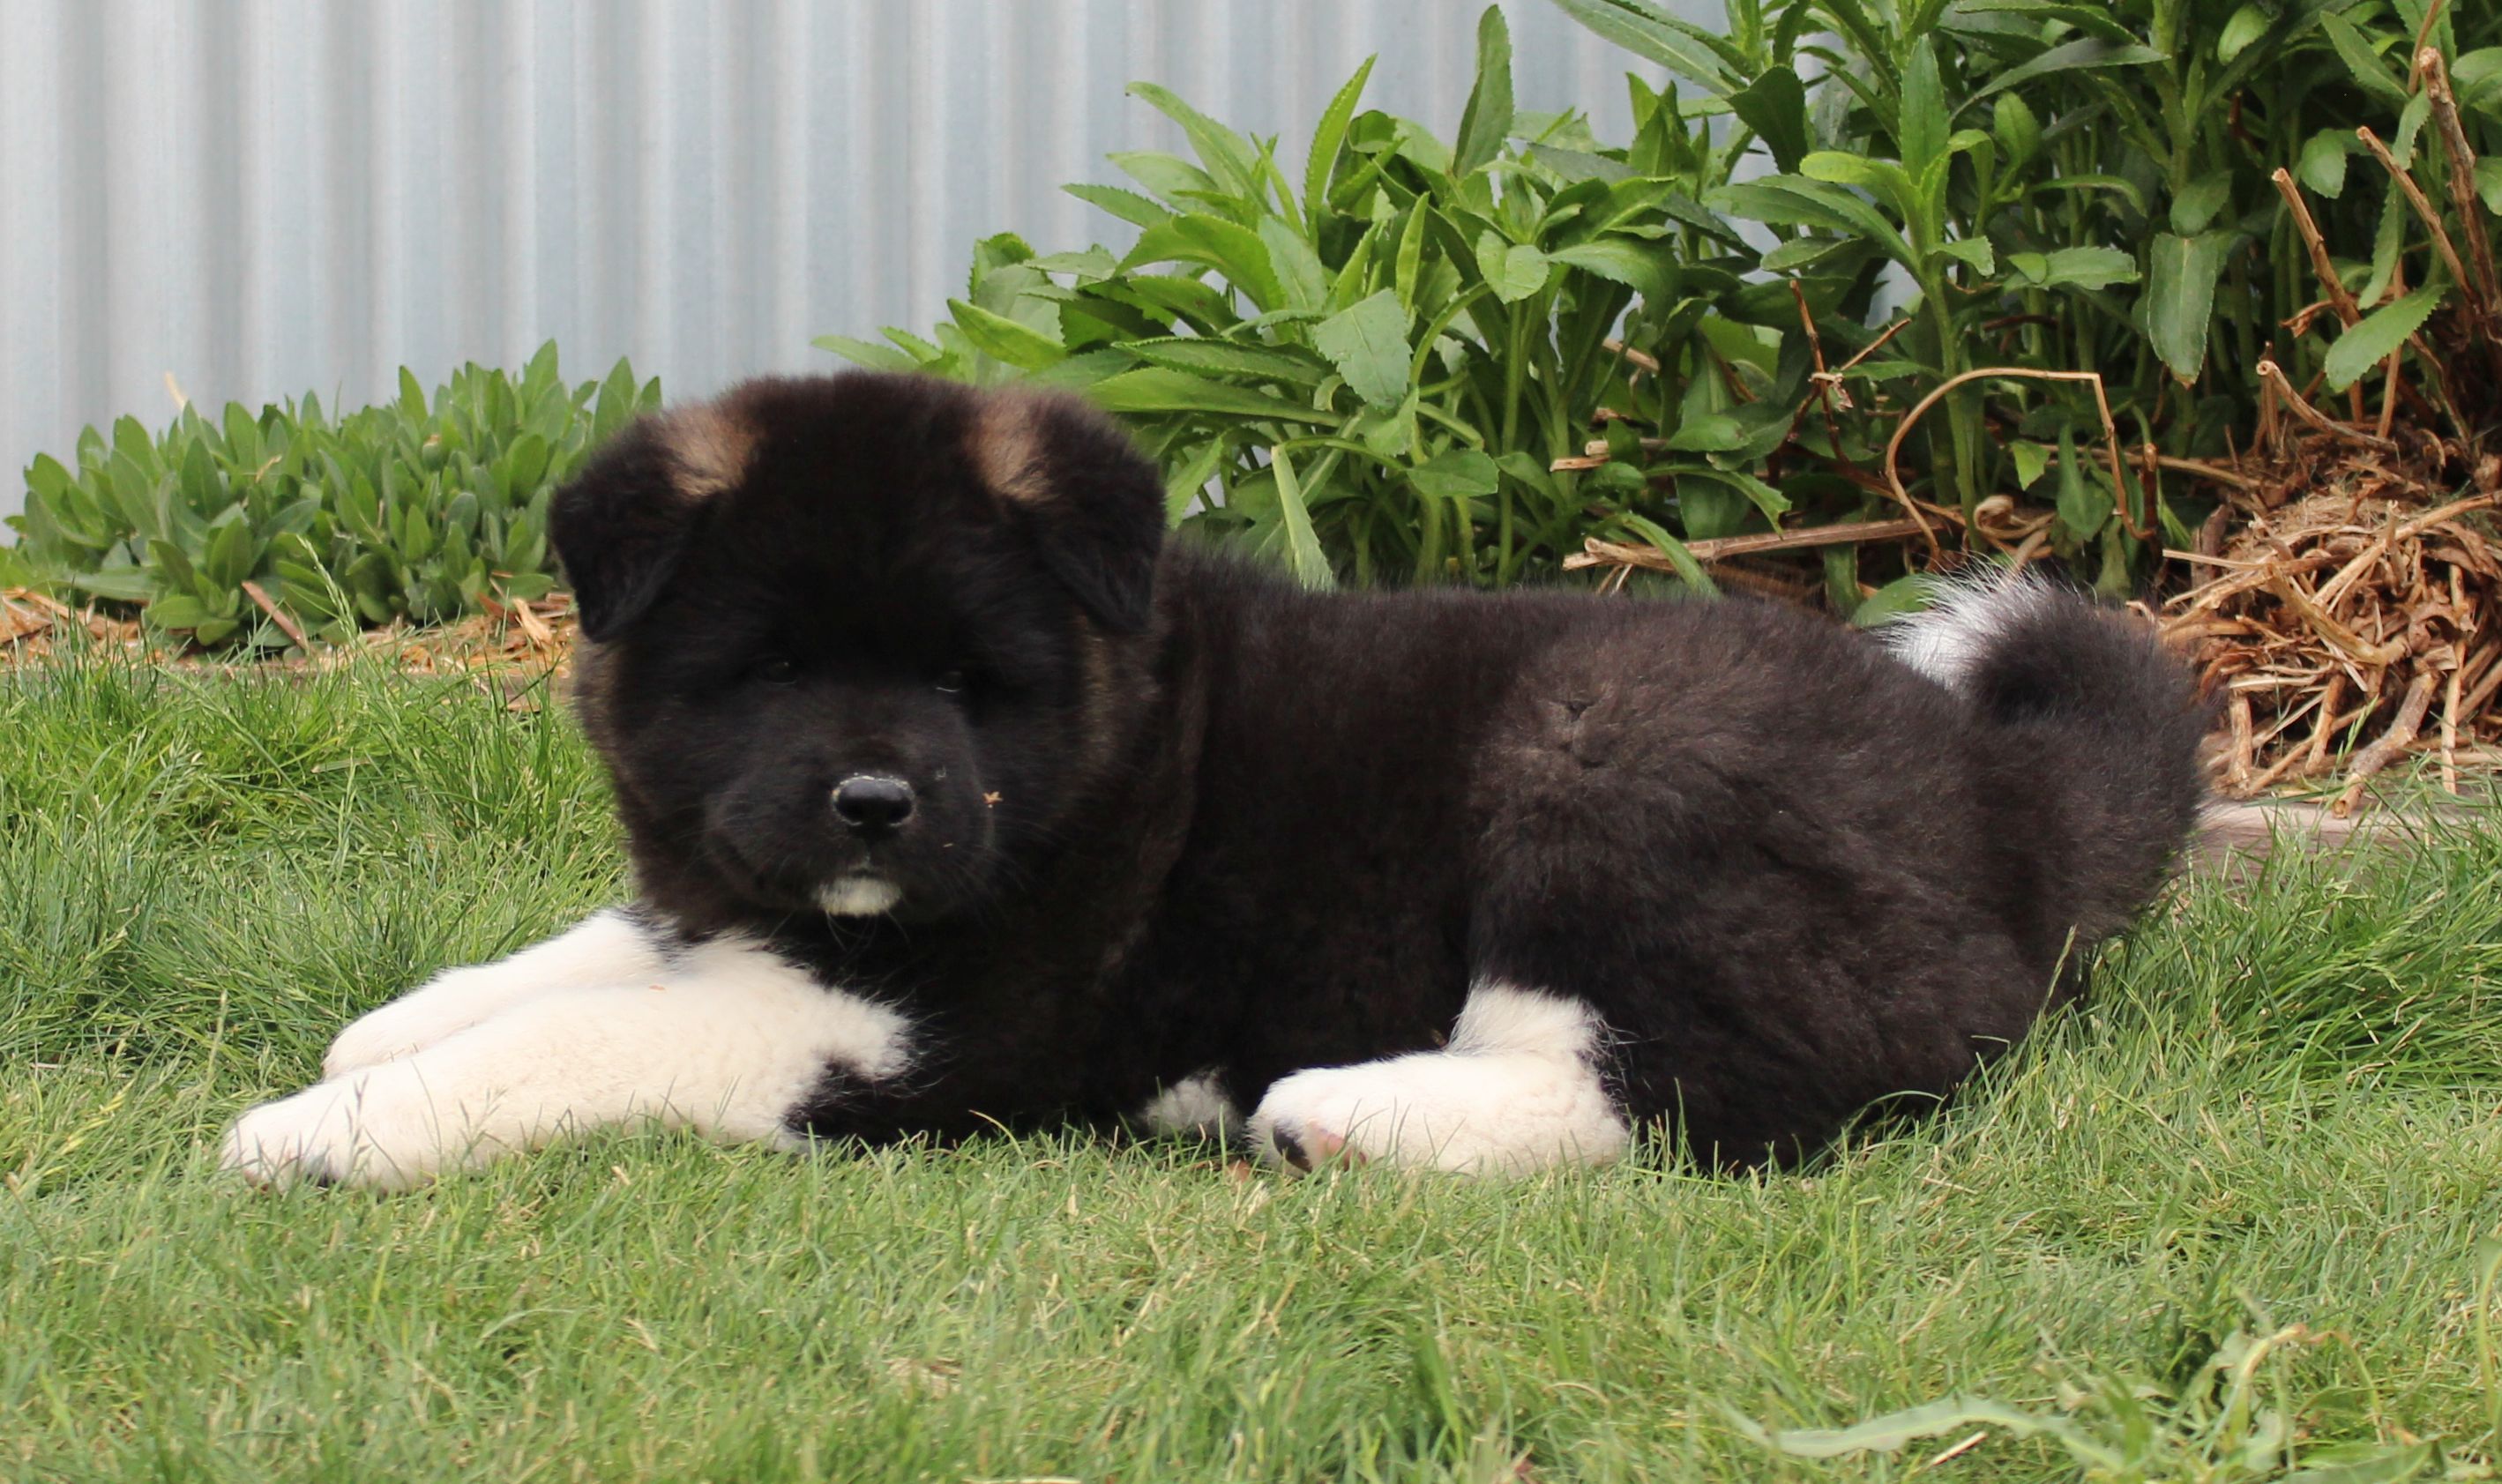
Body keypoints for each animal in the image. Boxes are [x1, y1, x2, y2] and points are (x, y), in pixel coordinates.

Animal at [222, 373, 2207, 1189]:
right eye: (769, 671)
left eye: (966, 684)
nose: (872, 804)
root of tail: (1995, 792)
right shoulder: (745, 901)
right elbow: (598, 950)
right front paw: (384, 1028)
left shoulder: (916, 1021)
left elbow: (584, 1034)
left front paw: (324, 1128)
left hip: (1602, 761)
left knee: (1705, 1079)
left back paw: (1345, 1111)